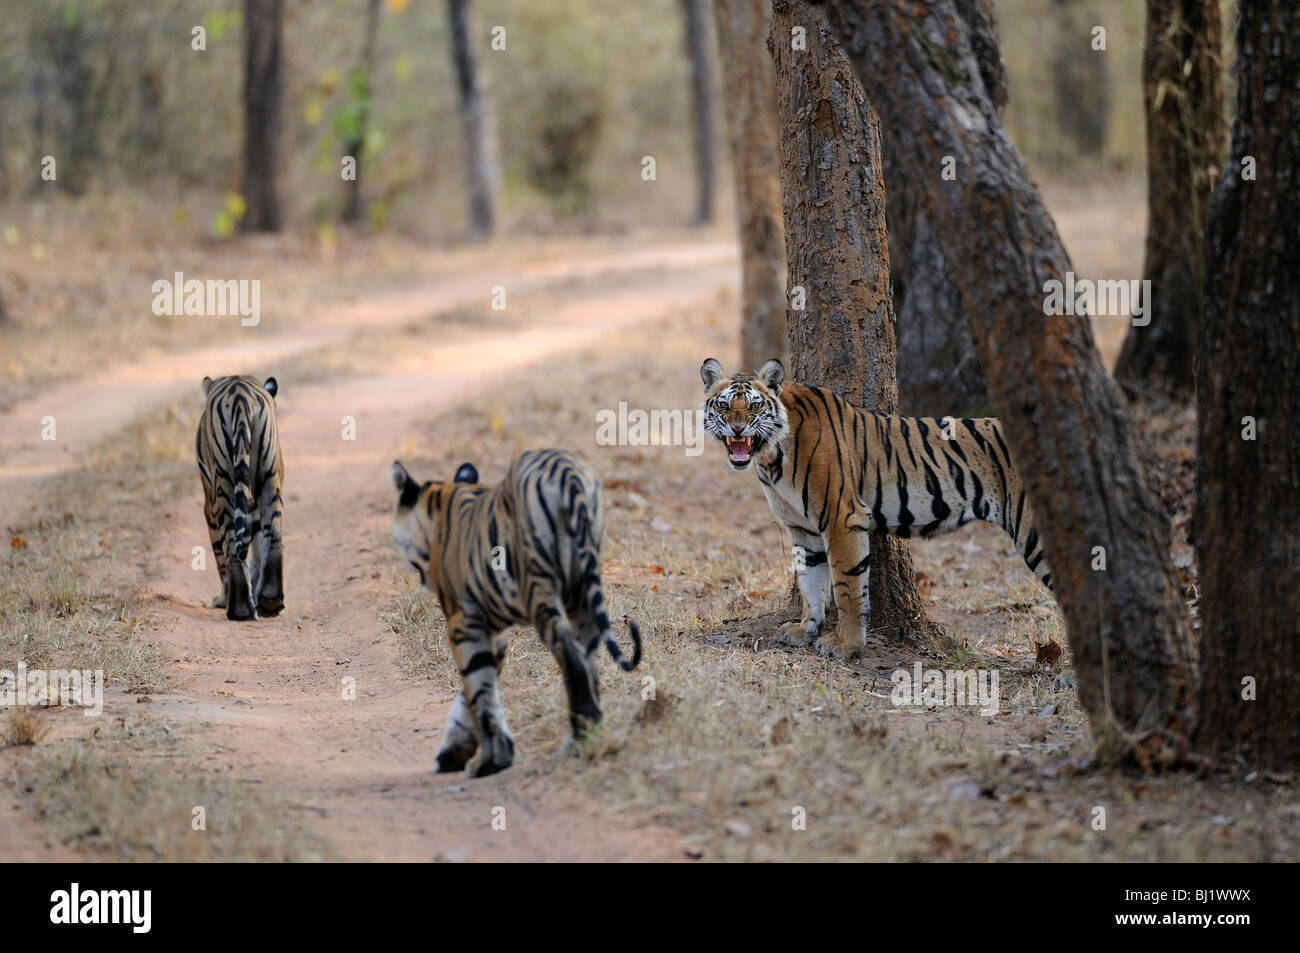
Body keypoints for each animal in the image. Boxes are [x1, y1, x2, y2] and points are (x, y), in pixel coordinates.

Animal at [196, 375, 285, 621]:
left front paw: (222, 599)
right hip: (268, 476)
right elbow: (256, 550)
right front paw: (257, 593)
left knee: (231, 545)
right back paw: (271, 601)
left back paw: (238, 609)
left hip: (223, 482)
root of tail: (240, 395)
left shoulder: (209, 502)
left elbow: (221, 552)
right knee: (273, 533)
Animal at [389, 449, 642, 779]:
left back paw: (579, 741)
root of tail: (566, 471)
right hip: (582, 591)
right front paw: (462, 750)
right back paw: (590, 731)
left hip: (539, 588)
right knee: (589, 660)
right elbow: (480, 689)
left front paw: (487, 761)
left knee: (569, 653)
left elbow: (477, 690)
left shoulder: (463, 622)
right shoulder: (491, 630)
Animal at [700, 357, 1053, 660]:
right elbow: (810, 583)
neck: (771, 457)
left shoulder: (842, 517)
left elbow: (846, 586)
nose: (737, 429)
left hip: (1036, 533)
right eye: (724, 405)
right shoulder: (802, 528)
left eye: (755, 405)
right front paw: (805, 630)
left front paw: (846, 646)